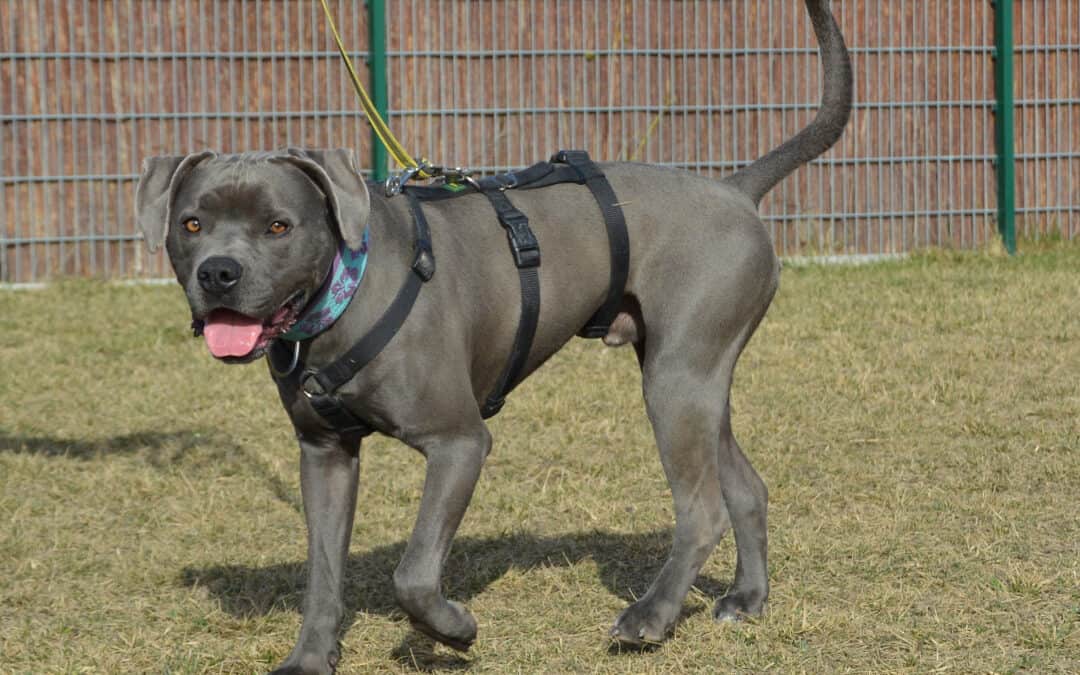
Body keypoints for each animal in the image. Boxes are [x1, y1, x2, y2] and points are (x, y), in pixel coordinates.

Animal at [130, 1, 846, 669]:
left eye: (278, 226)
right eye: (191, 224)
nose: (219, 273)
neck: (344, 293)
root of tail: (735, 190)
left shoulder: (459, 443)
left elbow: (413, 573)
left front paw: (452, 629)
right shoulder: (325, 455)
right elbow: (324, 573)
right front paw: (311, 657)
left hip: (675, 382)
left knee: (701, 508)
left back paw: (649, 617)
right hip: (694, 378)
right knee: (744, 488)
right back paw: (746, 600)